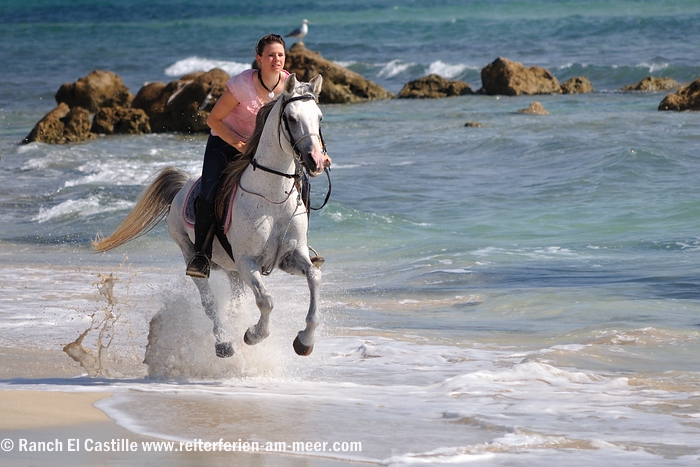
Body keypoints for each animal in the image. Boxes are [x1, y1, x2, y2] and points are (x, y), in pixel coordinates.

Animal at [93, 76, 330, 358]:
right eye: (292, 118)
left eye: (319, 117)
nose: (316, 161)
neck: (272, 198)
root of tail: (184, 184)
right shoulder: (247, 262)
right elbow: (266, 300)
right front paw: (253, 335)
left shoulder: (290, 257)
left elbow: (314, 277)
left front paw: (304, 341)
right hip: (192, 254)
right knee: (209, 303)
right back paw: (224, 343)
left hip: (231, 270)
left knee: (235, 301)